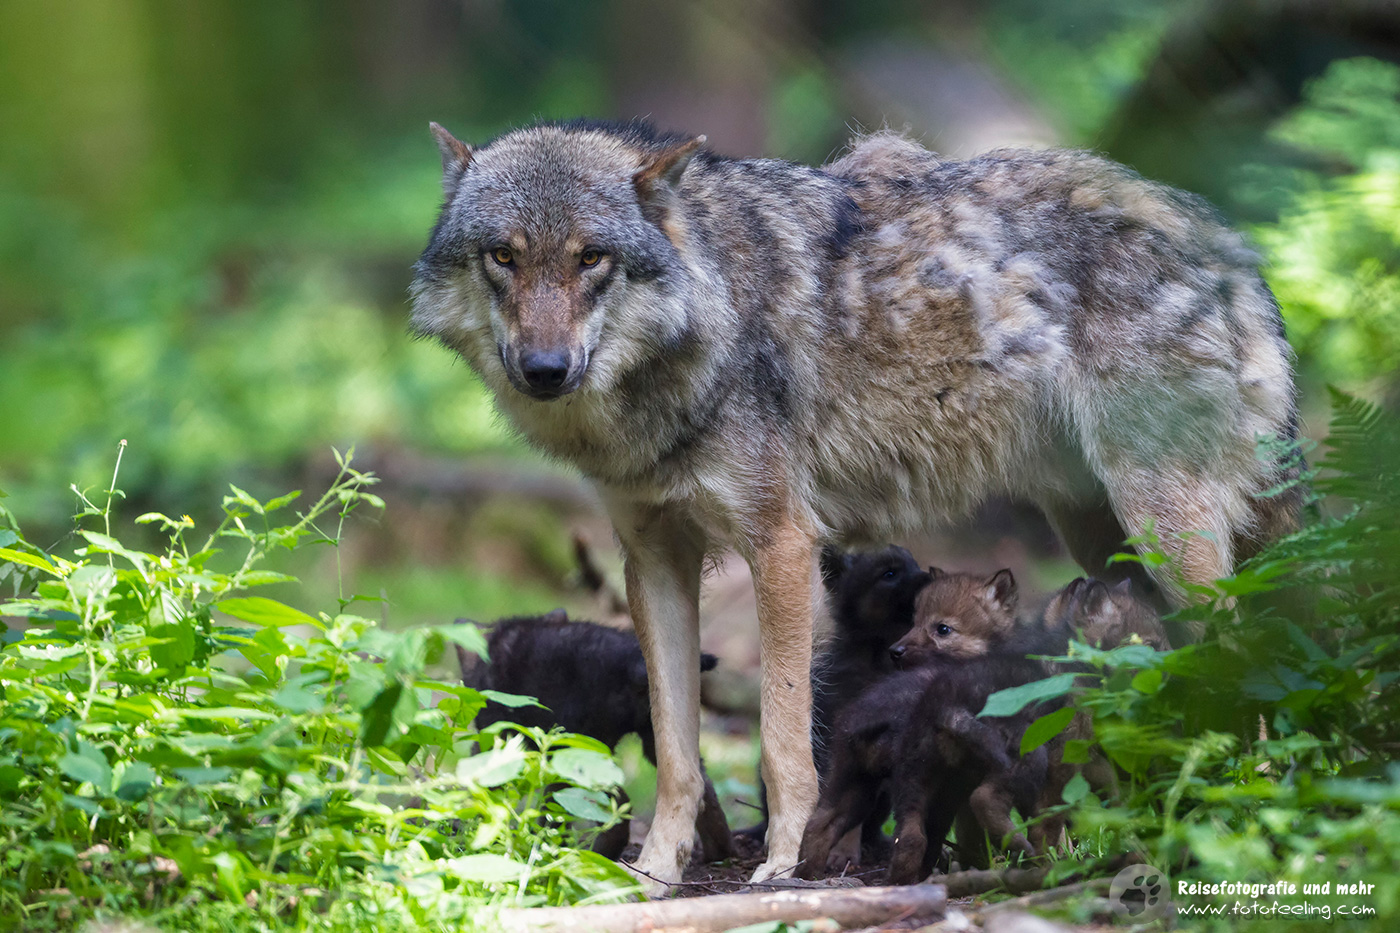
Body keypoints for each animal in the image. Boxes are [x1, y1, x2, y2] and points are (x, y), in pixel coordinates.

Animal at [411, 118, 1300, 885]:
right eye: (503, 256)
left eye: (591, 257)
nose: (545, 368)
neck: (704, 321)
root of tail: (1229, 247)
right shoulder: (655, 557)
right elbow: (676, 751)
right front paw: (656, 869)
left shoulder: (781, 544)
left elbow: (782, 737)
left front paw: (783, 862)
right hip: (1105, 542)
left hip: (1164, 535)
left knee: (1245, 651)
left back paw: (1241, 805)